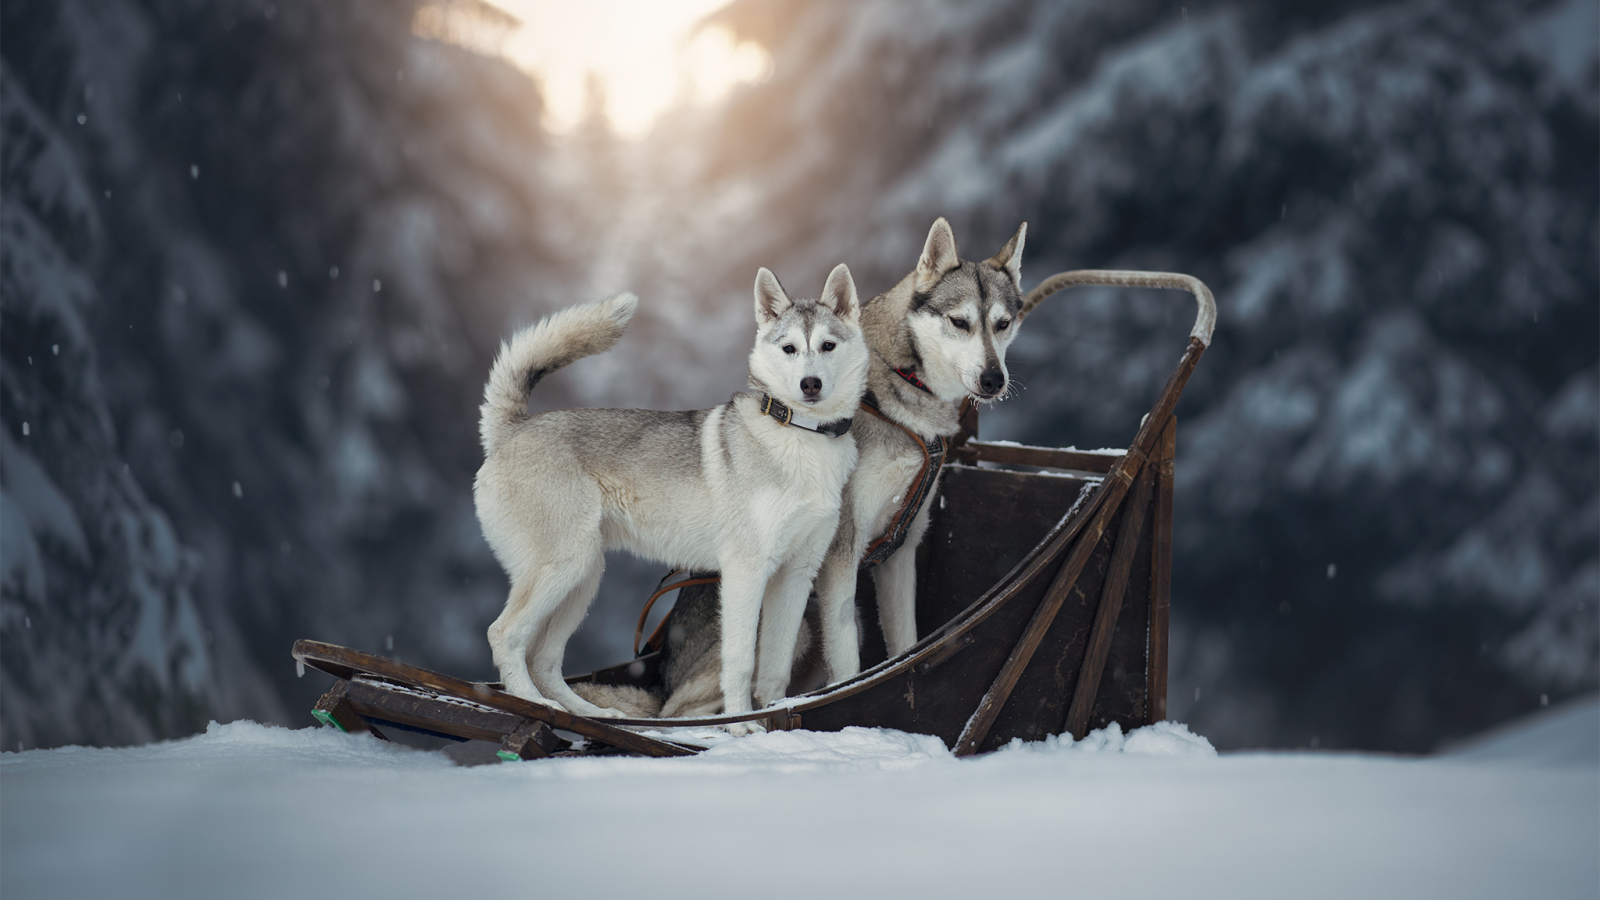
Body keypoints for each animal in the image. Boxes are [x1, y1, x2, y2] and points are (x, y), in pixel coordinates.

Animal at [473, 262, 870, 723]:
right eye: (789, 348)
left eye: (827, 346)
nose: (810, 384)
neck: (802, 437)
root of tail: (511, 429)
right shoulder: (745, 571)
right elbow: (741, 662)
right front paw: (742, 726)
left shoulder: (794, 575)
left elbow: (774, 669)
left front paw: (771, 720)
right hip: (563, 568)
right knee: (504, 635)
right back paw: (534, 704)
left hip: (583, 579)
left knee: (545, 661)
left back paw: (591, 714)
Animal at [656, 217, 1030, 714]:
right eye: (960, 322)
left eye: (1003, 324)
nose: (993, 380)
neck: (901, 388)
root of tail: (663, 668)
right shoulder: (842, 551)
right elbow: (849, 662)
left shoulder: (901, 549)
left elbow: (906, 646)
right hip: (793, 628)